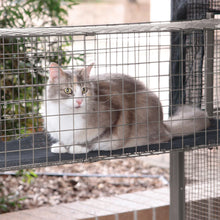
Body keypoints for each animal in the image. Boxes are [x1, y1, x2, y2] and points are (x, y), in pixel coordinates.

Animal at [40, 62, 211, 154]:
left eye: (84, 90)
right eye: (68, 90)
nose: (79, 101)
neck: (67, 116)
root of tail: (164, 125)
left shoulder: (113, 115)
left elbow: (93, 138)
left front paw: (79, 147)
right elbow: (65, 139)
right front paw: (61, 146)